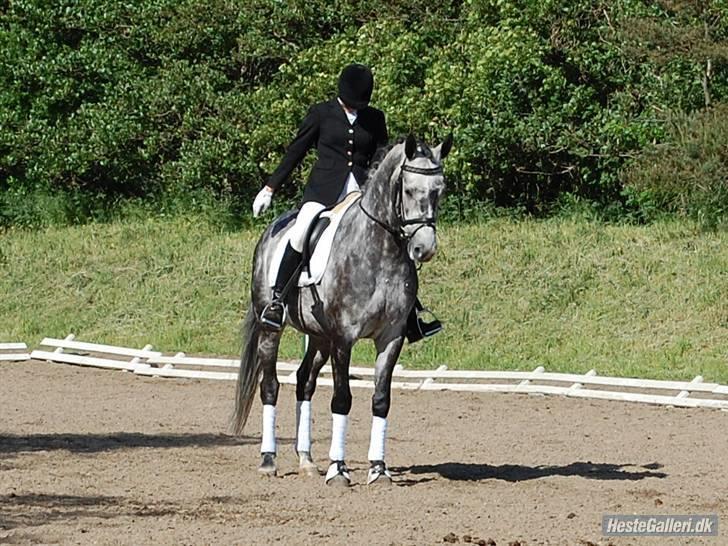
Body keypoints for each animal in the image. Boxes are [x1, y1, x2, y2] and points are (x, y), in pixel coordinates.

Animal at [233, 133, 452, 484]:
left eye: (439, 190)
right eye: (408, 190)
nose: (424, 248)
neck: (381, 251)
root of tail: (273, 229)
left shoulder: (391, 337)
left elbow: (381, 399)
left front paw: (378, 469)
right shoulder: (344, 338)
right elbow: (342, 399)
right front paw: (338, 469)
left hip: (319, 336)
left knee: (304, 382)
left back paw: (306, 460)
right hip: (272, 329)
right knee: (270, 386)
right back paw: (269, 460)